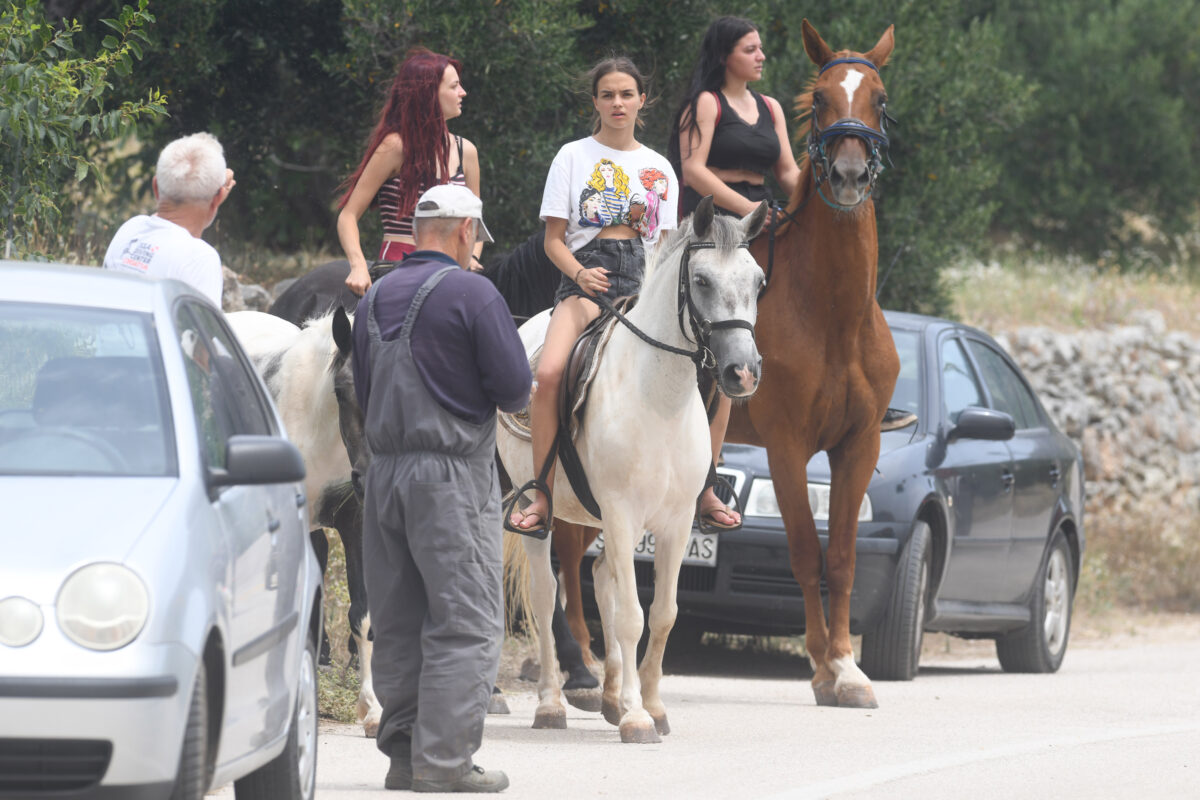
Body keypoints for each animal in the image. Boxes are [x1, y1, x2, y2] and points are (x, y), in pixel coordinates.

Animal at [499, 199, 768, 743]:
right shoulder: (622, 514)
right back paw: (551, 705)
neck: (659, 398)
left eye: (759, 281)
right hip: (542, 514)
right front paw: (638, 717)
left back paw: (609, 698)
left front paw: (652, 707)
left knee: (602, 580)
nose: (742, 373)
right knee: (546, 597)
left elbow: (662, 614)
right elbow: (630, 617)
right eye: (701, 280)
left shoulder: (676, 523)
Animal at [720, 18, 902, 705]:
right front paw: (825, 668)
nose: (849, 175)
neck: (835, 319)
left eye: (879, 99)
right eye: (821, 99)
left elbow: (842, 557)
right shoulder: (786, 446)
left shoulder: (858, 446)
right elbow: (804, 551)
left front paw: (848, 666)